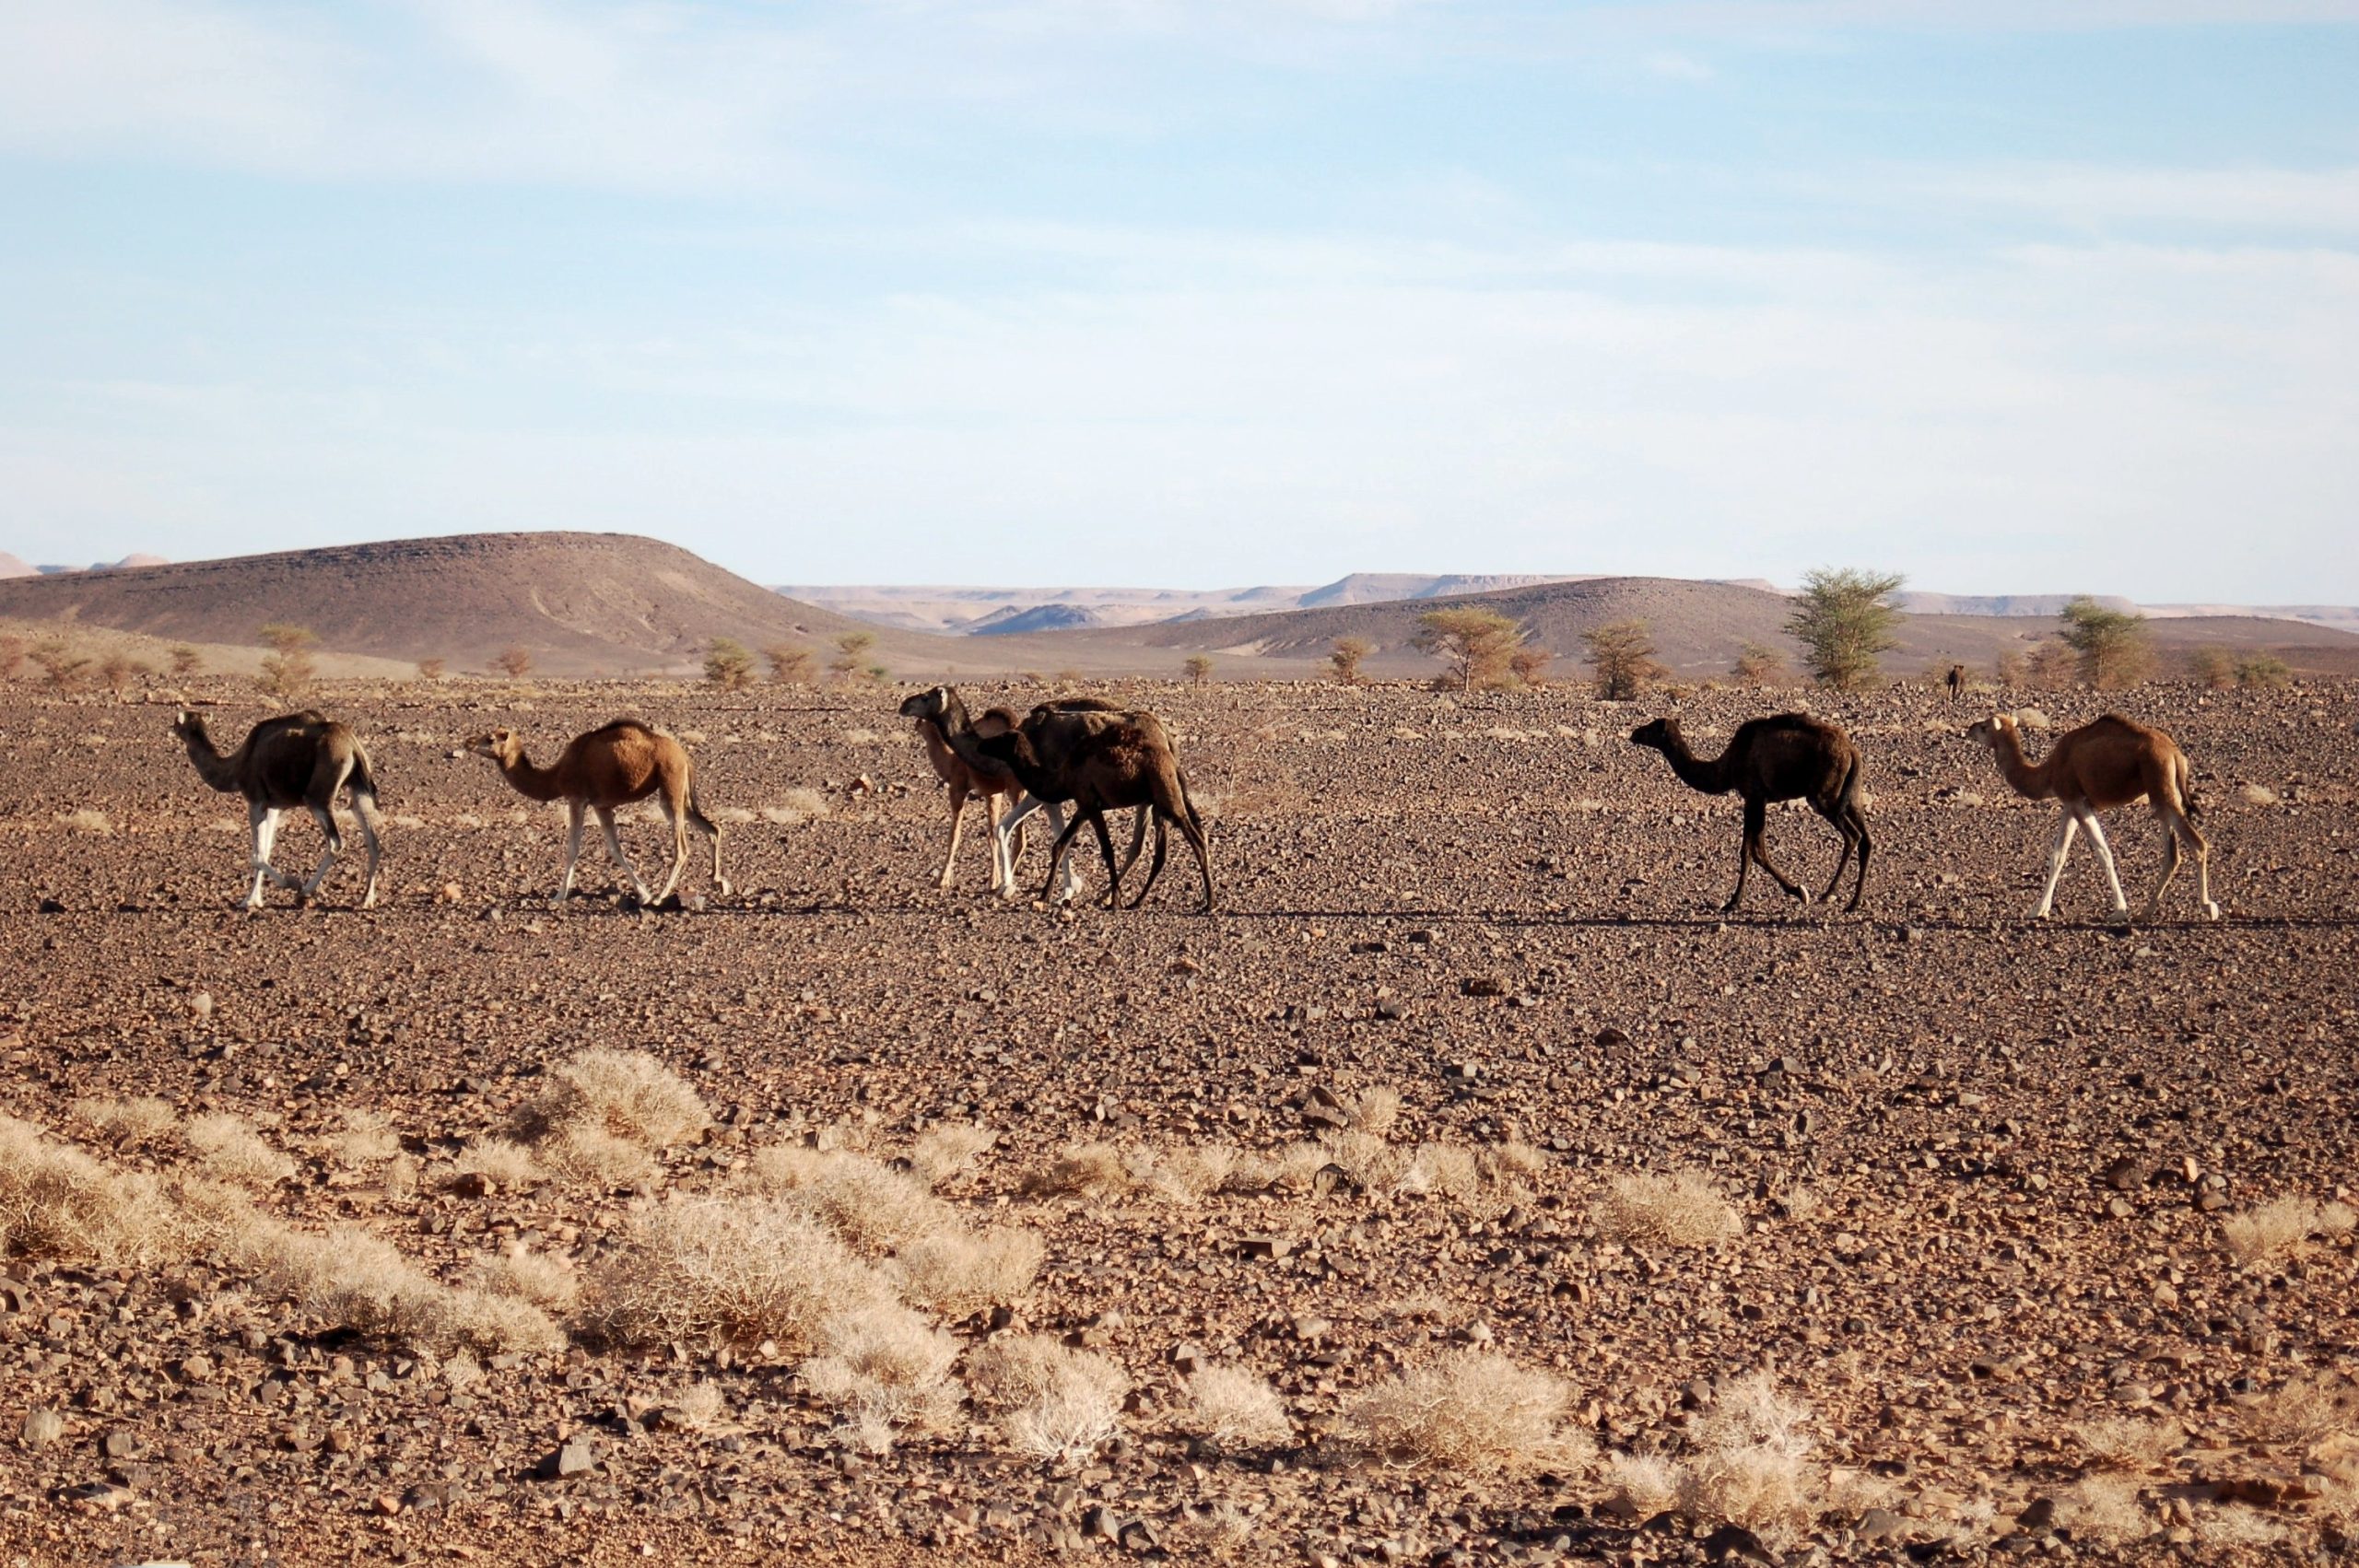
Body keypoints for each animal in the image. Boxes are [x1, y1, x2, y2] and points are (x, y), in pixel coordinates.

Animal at [173, 708, 383, 910]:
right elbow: (265, 850)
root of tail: (353, 746)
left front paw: (288, 884)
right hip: (358, 788)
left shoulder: (255, 799)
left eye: (177, 722)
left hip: (318, 795)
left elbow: (257, 855)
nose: (172, 727)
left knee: (335, 842)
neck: (236, 768)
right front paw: (253, 900)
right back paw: (366, 900)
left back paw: (304, 892)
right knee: (373, 842)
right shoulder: (274, 805)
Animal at [457, 720, 728, 908]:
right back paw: (720, 882)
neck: (555, 776)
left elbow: (572, 849)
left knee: (682, 847)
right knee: (713, 828)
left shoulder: (576, 799)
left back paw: (661, 897)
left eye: (489, 738)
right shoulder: (602, 805)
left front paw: (558, 896)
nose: (468, 742)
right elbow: (615, 850)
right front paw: (642, 893)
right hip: (680, 793)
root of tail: (684, 755)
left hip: (670, 784)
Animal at [973, 705, 1214, 913]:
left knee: (1195, 841)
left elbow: (1107, 850)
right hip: (1158, 801)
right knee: (1165, 850)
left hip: (1167, 797)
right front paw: (1045, 895)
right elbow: (1059, 844)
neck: (1061, 777)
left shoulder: (1090, 805)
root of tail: (1172, 758)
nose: (982, 744)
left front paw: (1114, 901)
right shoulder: (1083, 806)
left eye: (1002, 739)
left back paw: (1208, 903)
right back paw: (1138, 901)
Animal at [1628, 713, 1870, 913]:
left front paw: (1737, 901)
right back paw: (1853, 902)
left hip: (1823, 796)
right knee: (1866, 839)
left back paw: (1829, 894)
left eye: (1651, 727)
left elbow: (1751, 851)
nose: (1634, 733)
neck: (1726, 766)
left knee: (1853, 836)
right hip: (1851, 795)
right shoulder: (1757, 800)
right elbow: (1755, 850)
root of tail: (1852, 751)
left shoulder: (1753, 797)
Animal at [1965, 711, 2217, 922]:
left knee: (2198, 844)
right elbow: (2058, 856)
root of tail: (2176, 754)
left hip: (2161, 788)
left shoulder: (2078, 801)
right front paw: (2038, 910)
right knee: (2172, 854)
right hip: (2164, 794)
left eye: (1985, 727)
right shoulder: (2070, 805)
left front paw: (2119, 910)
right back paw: (2145, 911)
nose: (1970, 729)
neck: (2048, 773)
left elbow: (2103, 853)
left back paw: (2208, 907)